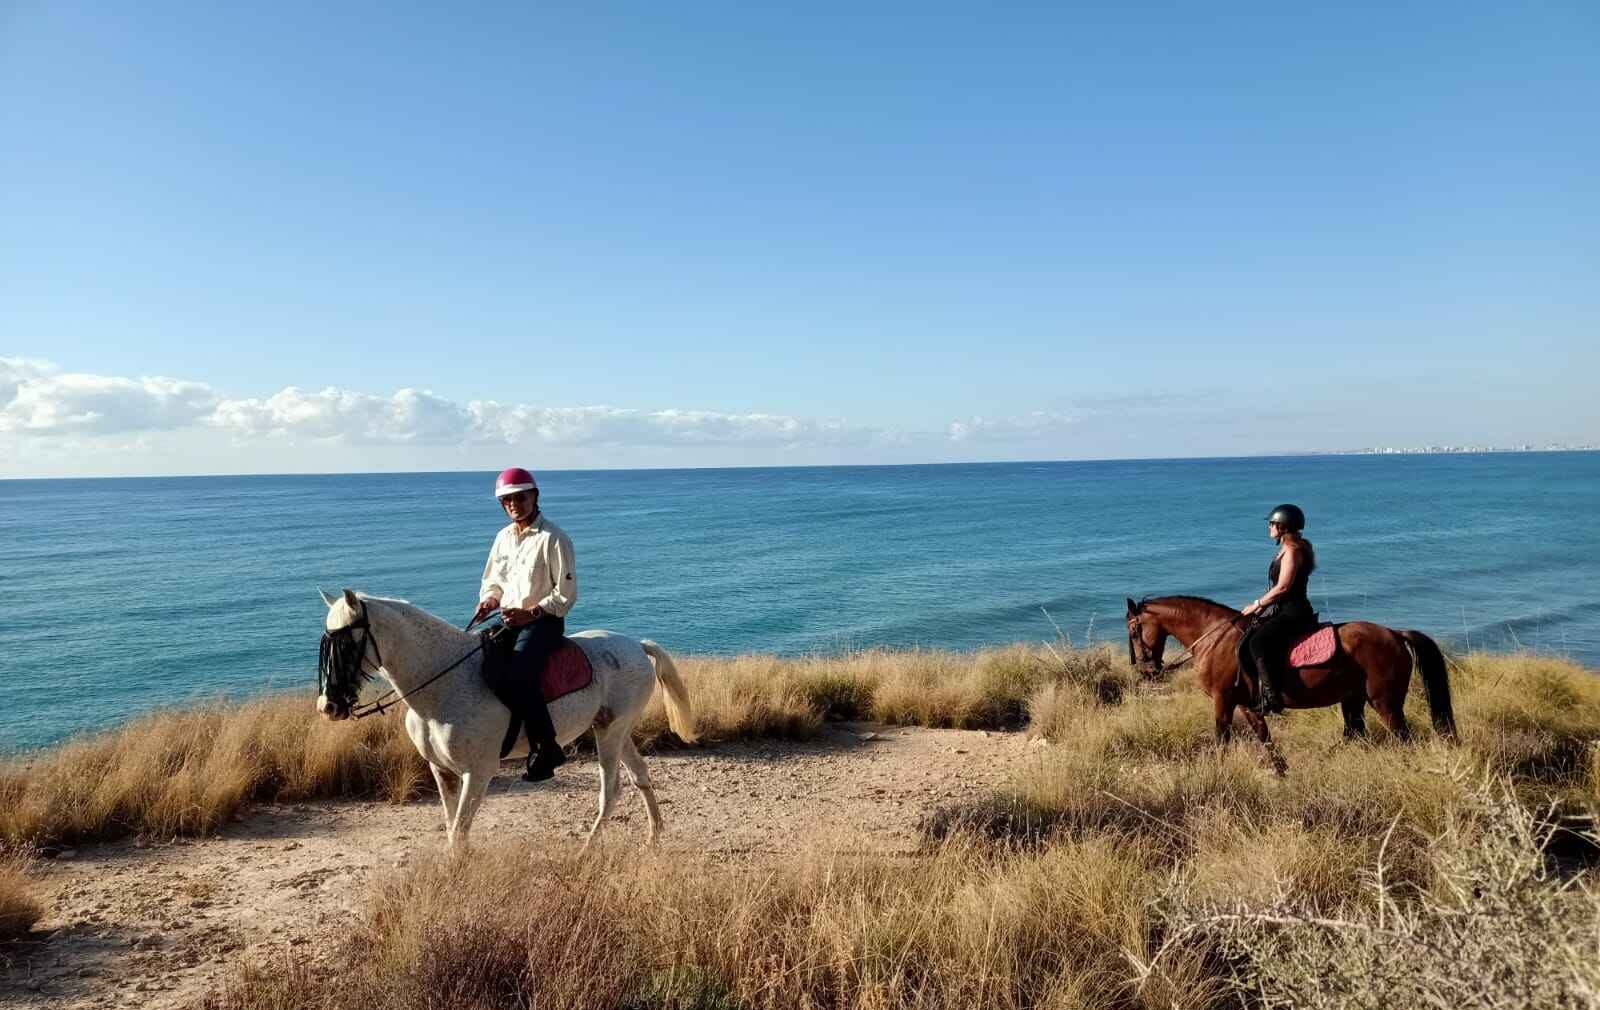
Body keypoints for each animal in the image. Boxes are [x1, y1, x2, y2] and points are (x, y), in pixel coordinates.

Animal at [315, 589, 697, 851]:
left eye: (346, 644)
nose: (328, 706)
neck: (444, 684)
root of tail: (637, 645)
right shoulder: (442, 772)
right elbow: (453, 826)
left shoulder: (479, 772)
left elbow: (459, 831)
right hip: (614, 729)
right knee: (640, 775)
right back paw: (653, 838)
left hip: (610, 734)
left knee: (612, 790)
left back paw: (587, 850)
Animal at [1126, 595, 1452, 771]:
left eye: (1133, 631)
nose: (1146, 670)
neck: (1214, 637)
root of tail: (1395, 634)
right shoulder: (1247, 704)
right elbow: (1264, 737)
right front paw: (1282, 772)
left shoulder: (1223, 700)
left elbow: (1221, 738)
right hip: (1353, 698)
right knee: (1354, 733)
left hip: (1385, 702)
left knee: (1401, 736)